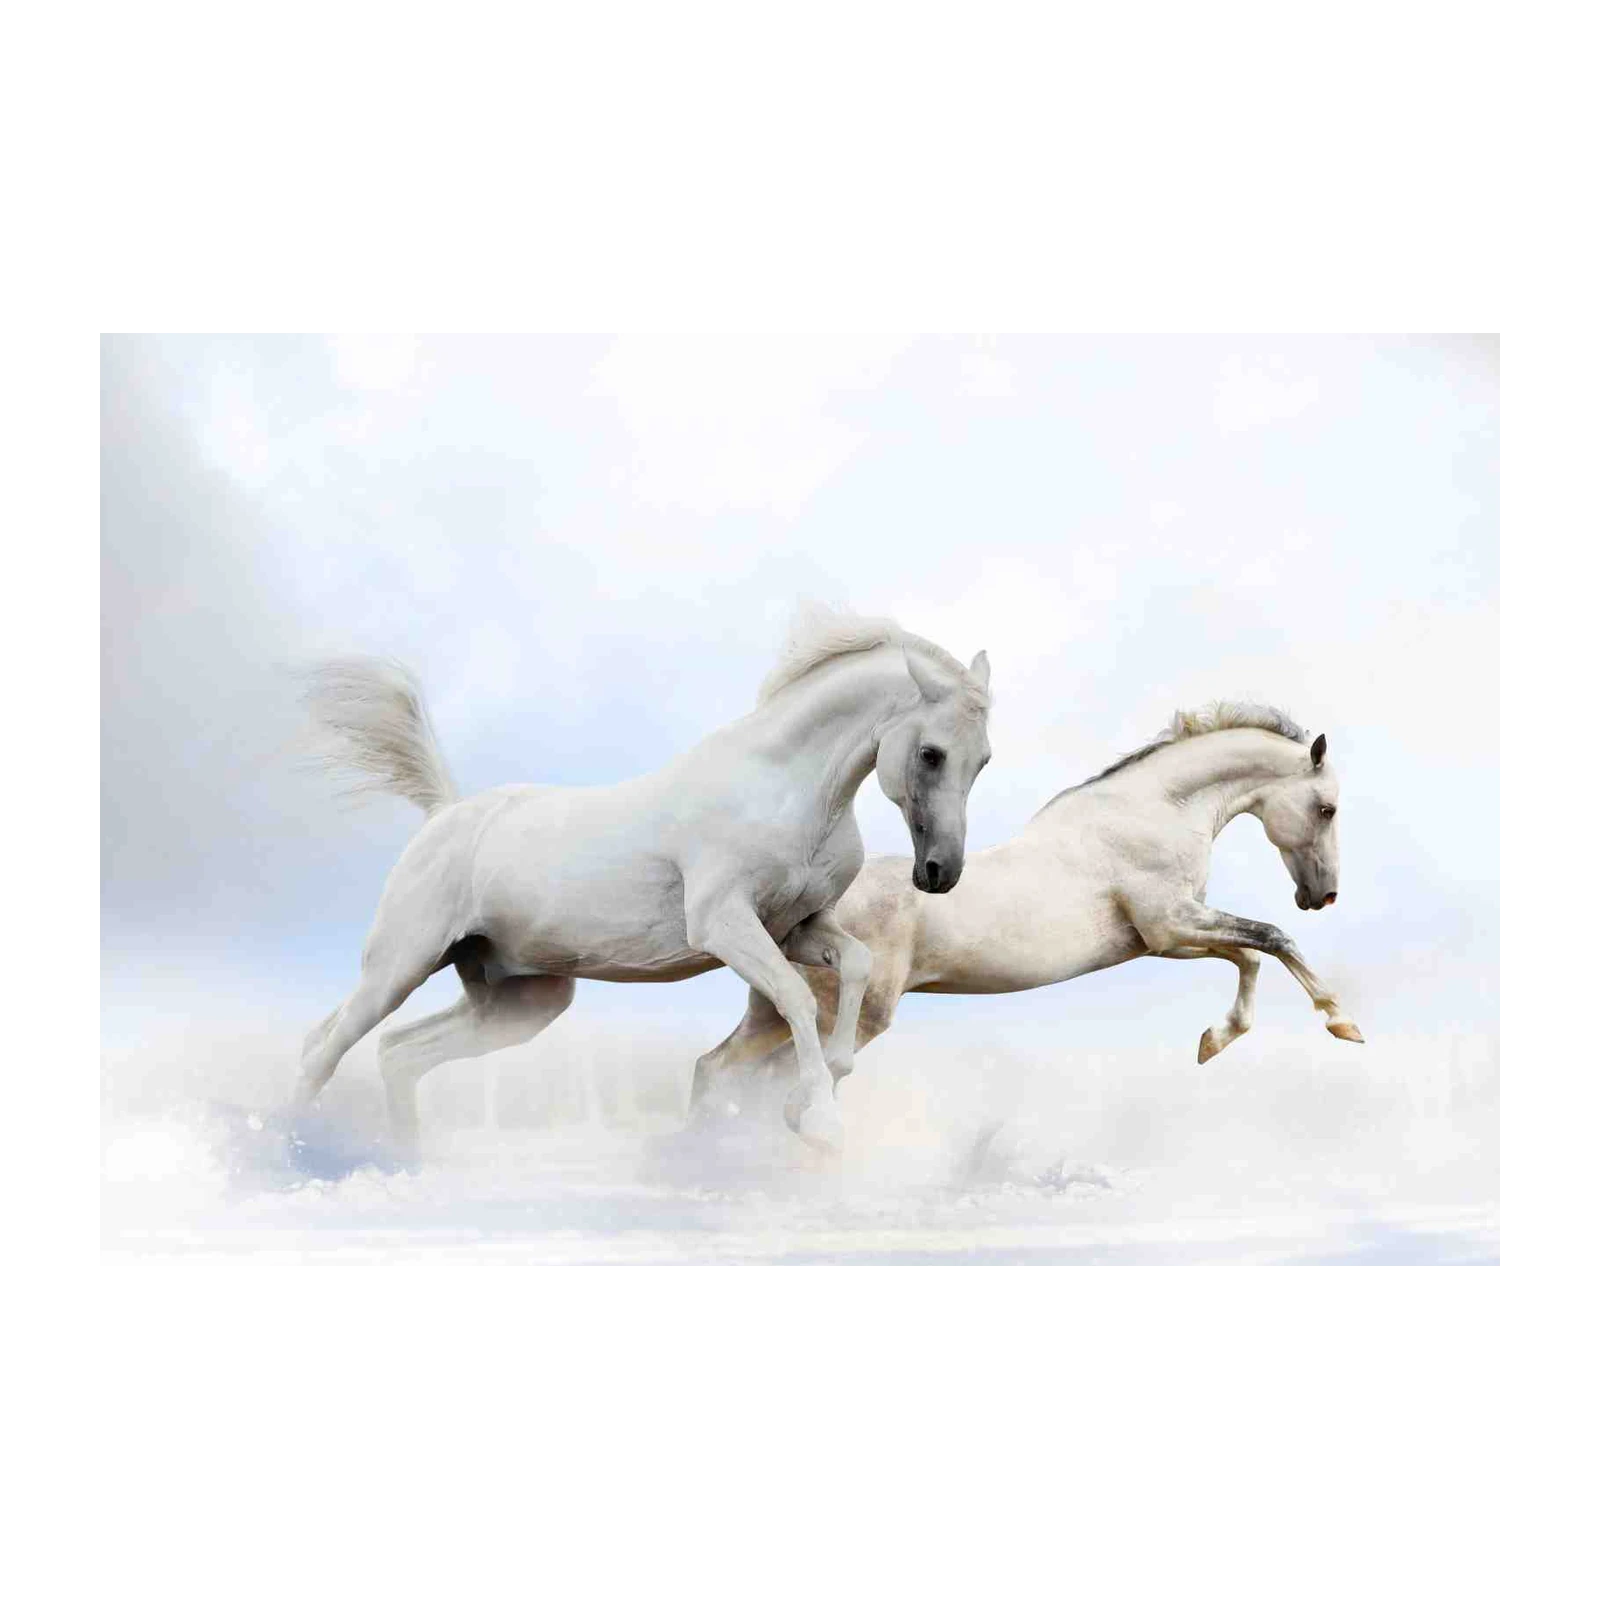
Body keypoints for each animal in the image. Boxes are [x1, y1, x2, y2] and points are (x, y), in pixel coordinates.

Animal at [292, 609, 993, 1152]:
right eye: (931, 754)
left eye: (983, 759)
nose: (940, 873)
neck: (789, 792)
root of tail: (444, 813)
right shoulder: (725, 926)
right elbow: (796, 998)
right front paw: (820, 1121)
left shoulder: (795, 928)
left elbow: (855, 965)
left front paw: (818, 1093)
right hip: (399, 967)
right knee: (323, 1048)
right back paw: (291, 1152)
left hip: (519, 1000)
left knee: (397, 1052)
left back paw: (408, 1162)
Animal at [690, 703, 1363, 1113]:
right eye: (1327, 808)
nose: (1323, 895)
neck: (1155, 811)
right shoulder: (1170, 923)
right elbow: (1272, 938)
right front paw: (1342, 1022)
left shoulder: (1164, 938)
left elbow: (1248, 956)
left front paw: (1213, 1041)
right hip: (853, 1017)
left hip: (775, 1014)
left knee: (713, 1069)